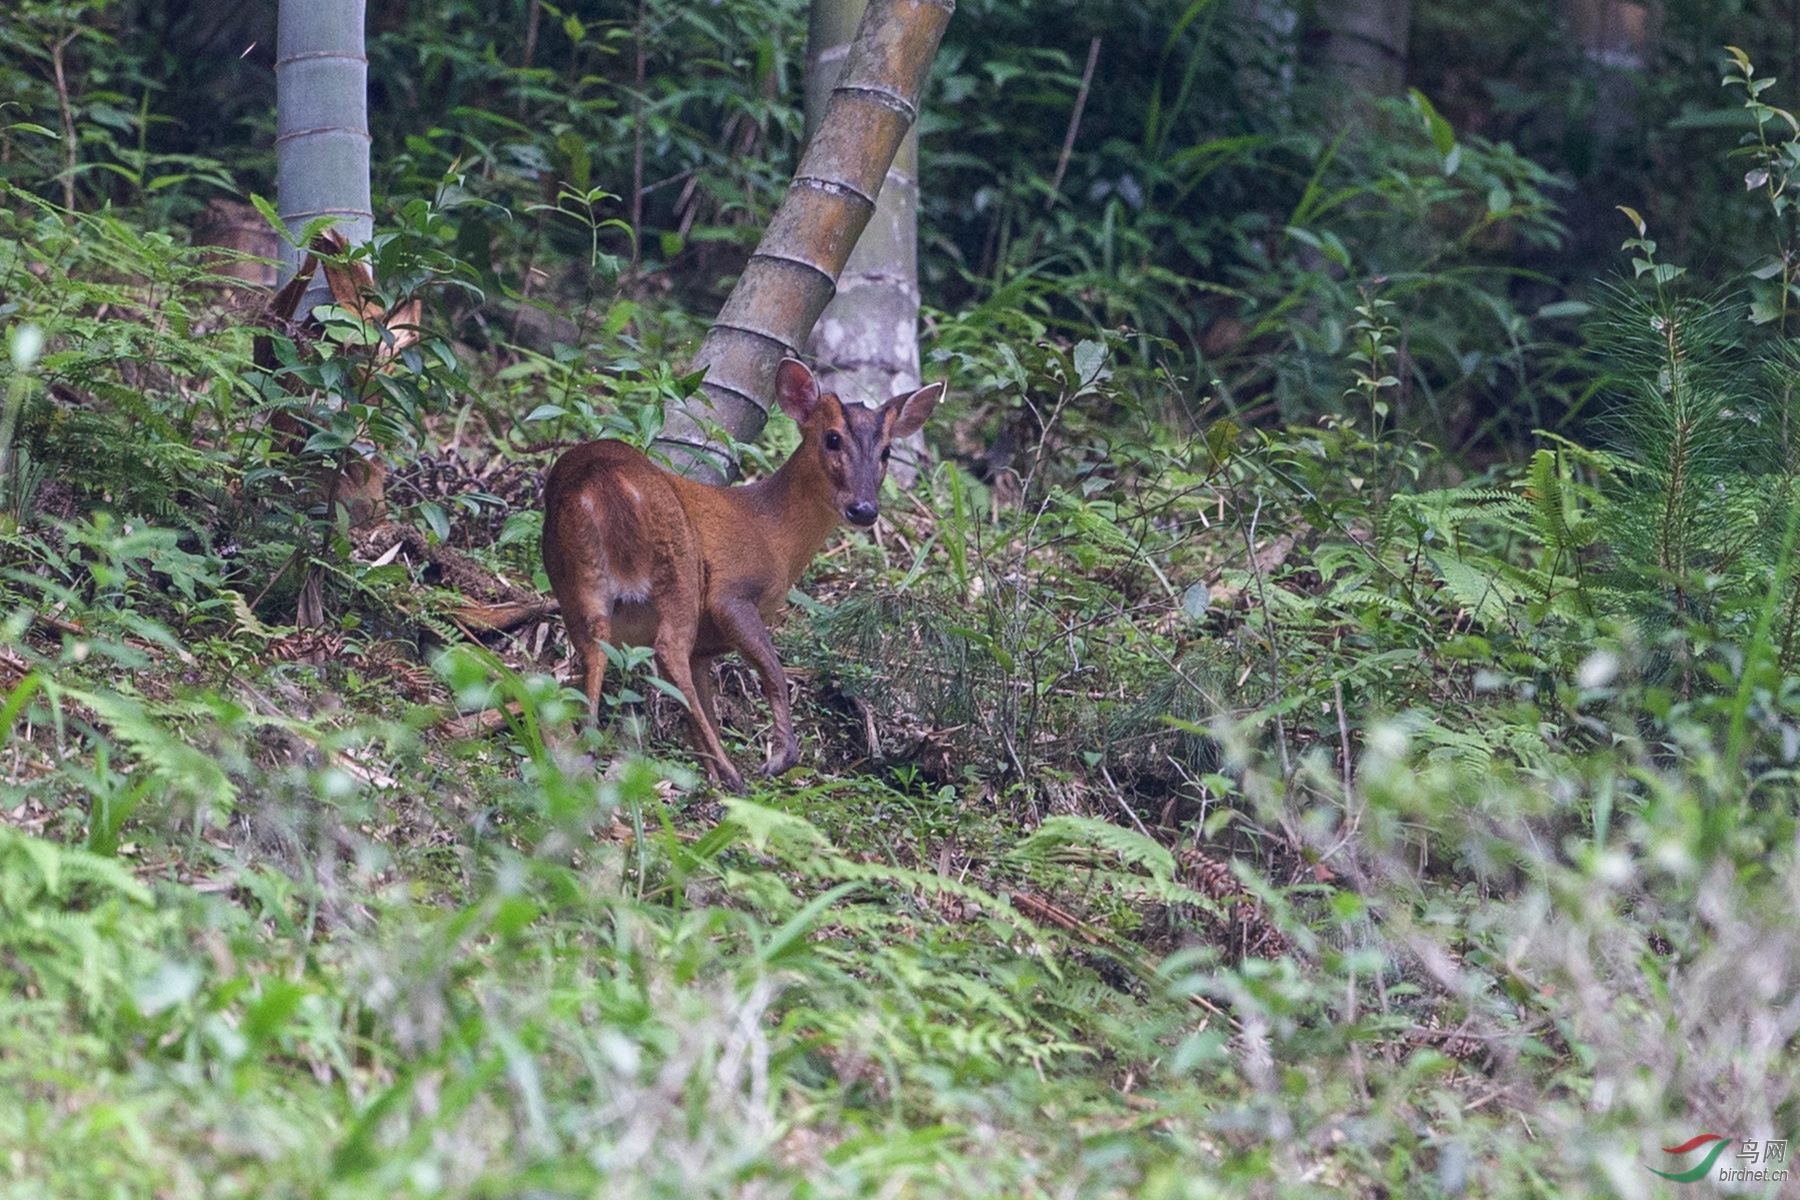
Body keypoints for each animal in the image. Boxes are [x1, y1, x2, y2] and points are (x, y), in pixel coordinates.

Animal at [543, 359, 943, 788]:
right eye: (832, 438)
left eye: (886, 451)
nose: (864, 509)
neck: (770, 531)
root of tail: (604, 475)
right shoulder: (731, 594)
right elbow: (773, 671)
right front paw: (778, 758)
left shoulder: (704, 648)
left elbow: (705, 704)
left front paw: (711, 772)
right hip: (680, 568)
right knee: (668, 649)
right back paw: (735, 776)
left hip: (573, 575)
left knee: (595, 645)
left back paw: (586, 751)